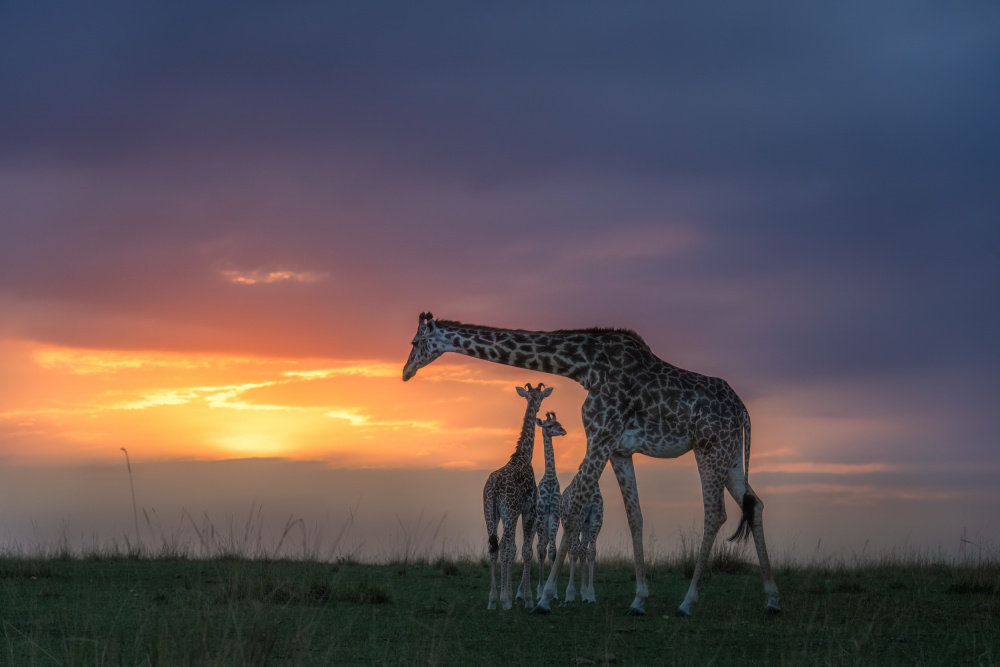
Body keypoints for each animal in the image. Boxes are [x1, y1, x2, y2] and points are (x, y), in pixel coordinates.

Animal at [400, 316, 780, 620]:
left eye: (415, 343)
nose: (405, 372)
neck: (584, 366)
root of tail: (743, 410)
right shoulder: (618, 448)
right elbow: (635, 516)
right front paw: (638, 600)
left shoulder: (599, 434)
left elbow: (574, 512)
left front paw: (546, 599)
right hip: (731, 456)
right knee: (756, 503)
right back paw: (772, 600)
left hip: (709, 448)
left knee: (715, 512)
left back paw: (687, 604)